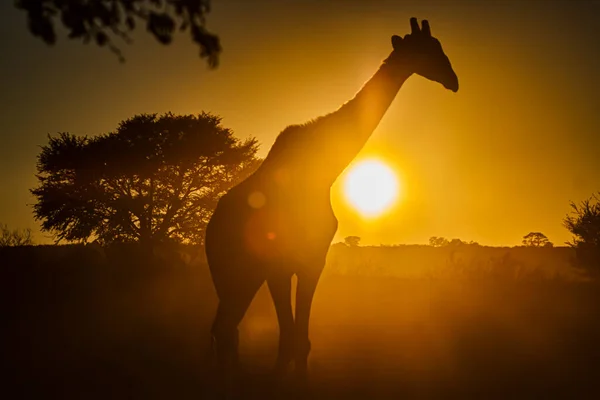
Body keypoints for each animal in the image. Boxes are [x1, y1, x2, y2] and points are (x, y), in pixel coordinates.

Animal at [204, 18, 458, 388]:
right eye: (427, 50)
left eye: (439, 46)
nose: (453, 80)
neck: (325, 170)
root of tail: (208, 231)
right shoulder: (303, 260)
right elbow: (294, 338)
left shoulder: (296, 262)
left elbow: (294, 339)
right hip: (239, 273)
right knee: (225, 329)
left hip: (229, 277)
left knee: (225, 330)